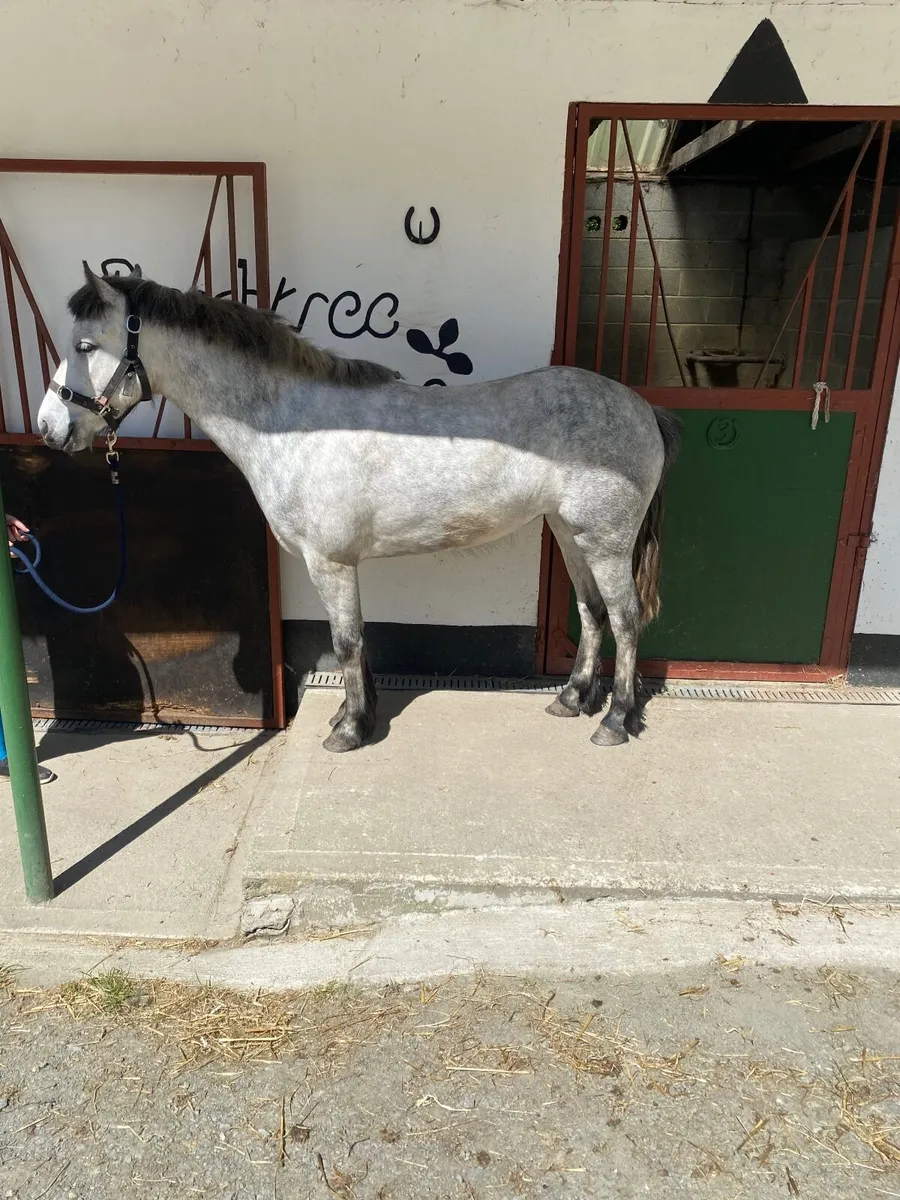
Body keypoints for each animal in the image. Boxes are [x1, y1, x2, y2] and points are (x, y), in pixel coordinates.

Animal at [38, 265, 680, 753]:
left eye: (85, 346)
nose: (49, 428)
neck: (292, 424)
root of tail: (642, 408)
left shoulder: (330, 562)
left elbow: (346, 641)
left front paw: (347, 730)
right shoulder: (337, 564)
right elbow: (357, 638)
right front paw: (355, 715)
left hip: (606, 541)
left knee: (624, 619)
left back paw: (614, 721)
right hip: (571, 534)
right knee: (593, 614)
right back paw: (570, 700)